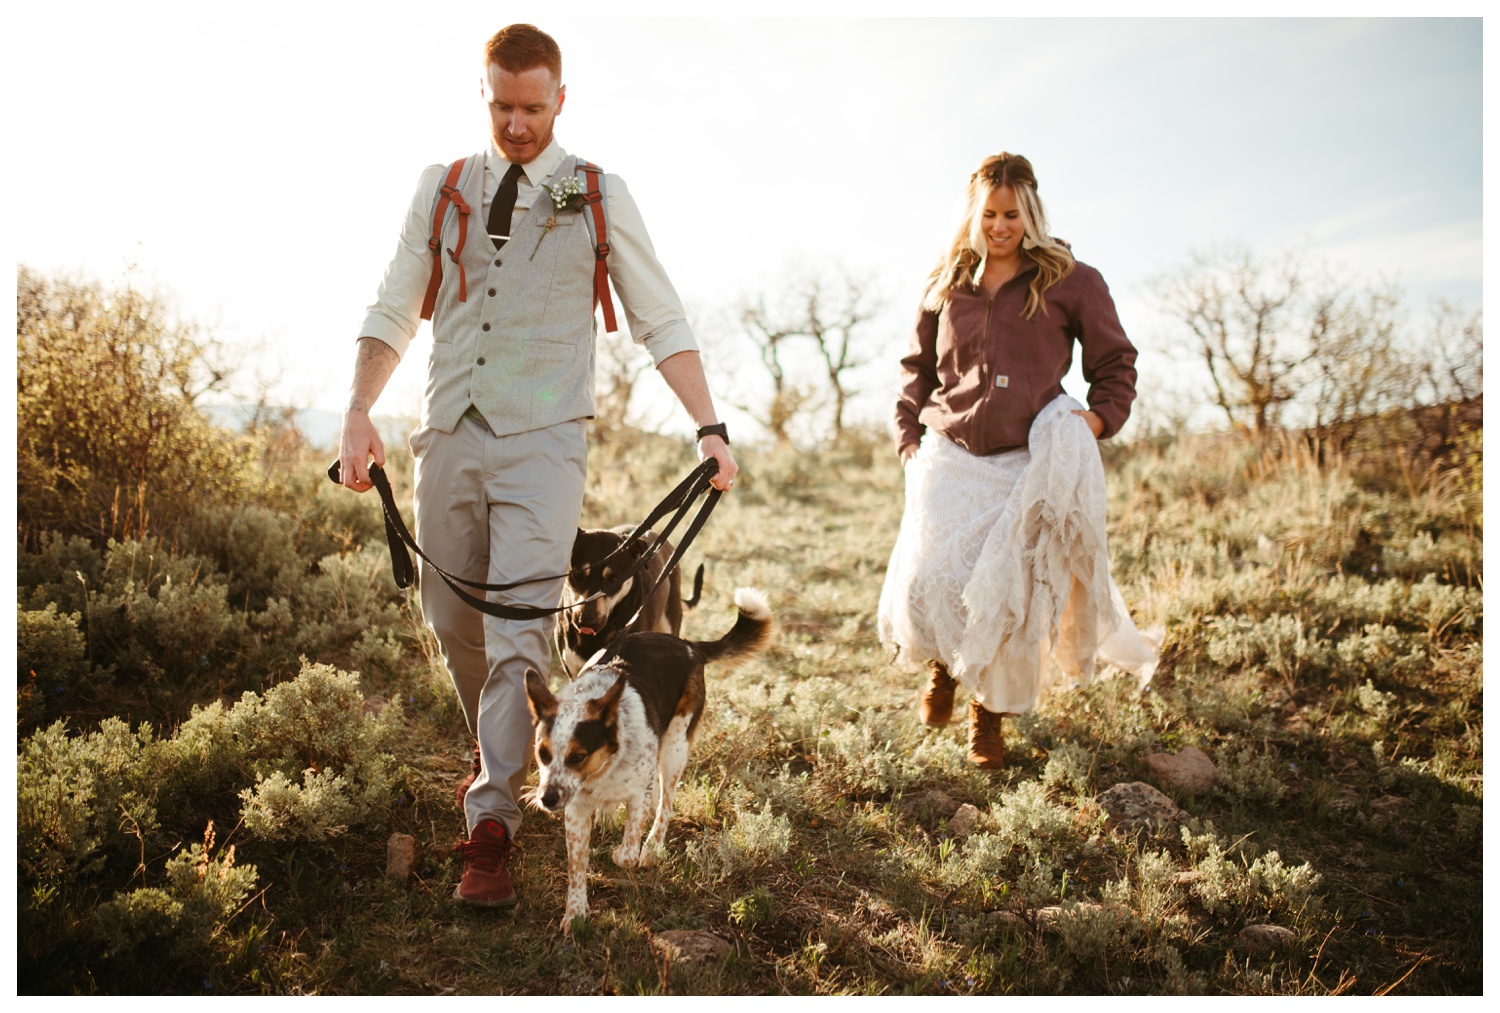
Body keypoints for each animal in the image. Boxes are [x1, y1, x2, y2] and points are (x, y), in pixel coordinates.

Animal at [522, 585, 774, 936]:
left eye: (578, 756)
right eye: (542, 753)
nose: (546, 799)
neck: (602, 770)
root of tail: (688, 646)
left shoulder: (636, 793)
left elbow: (627, 852)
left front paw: (626, 851)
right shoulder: (575, 811)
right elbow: (576, 866)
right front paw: (576, 913)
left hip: (675, 746)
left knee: (665, 802)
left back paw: (653, 845)